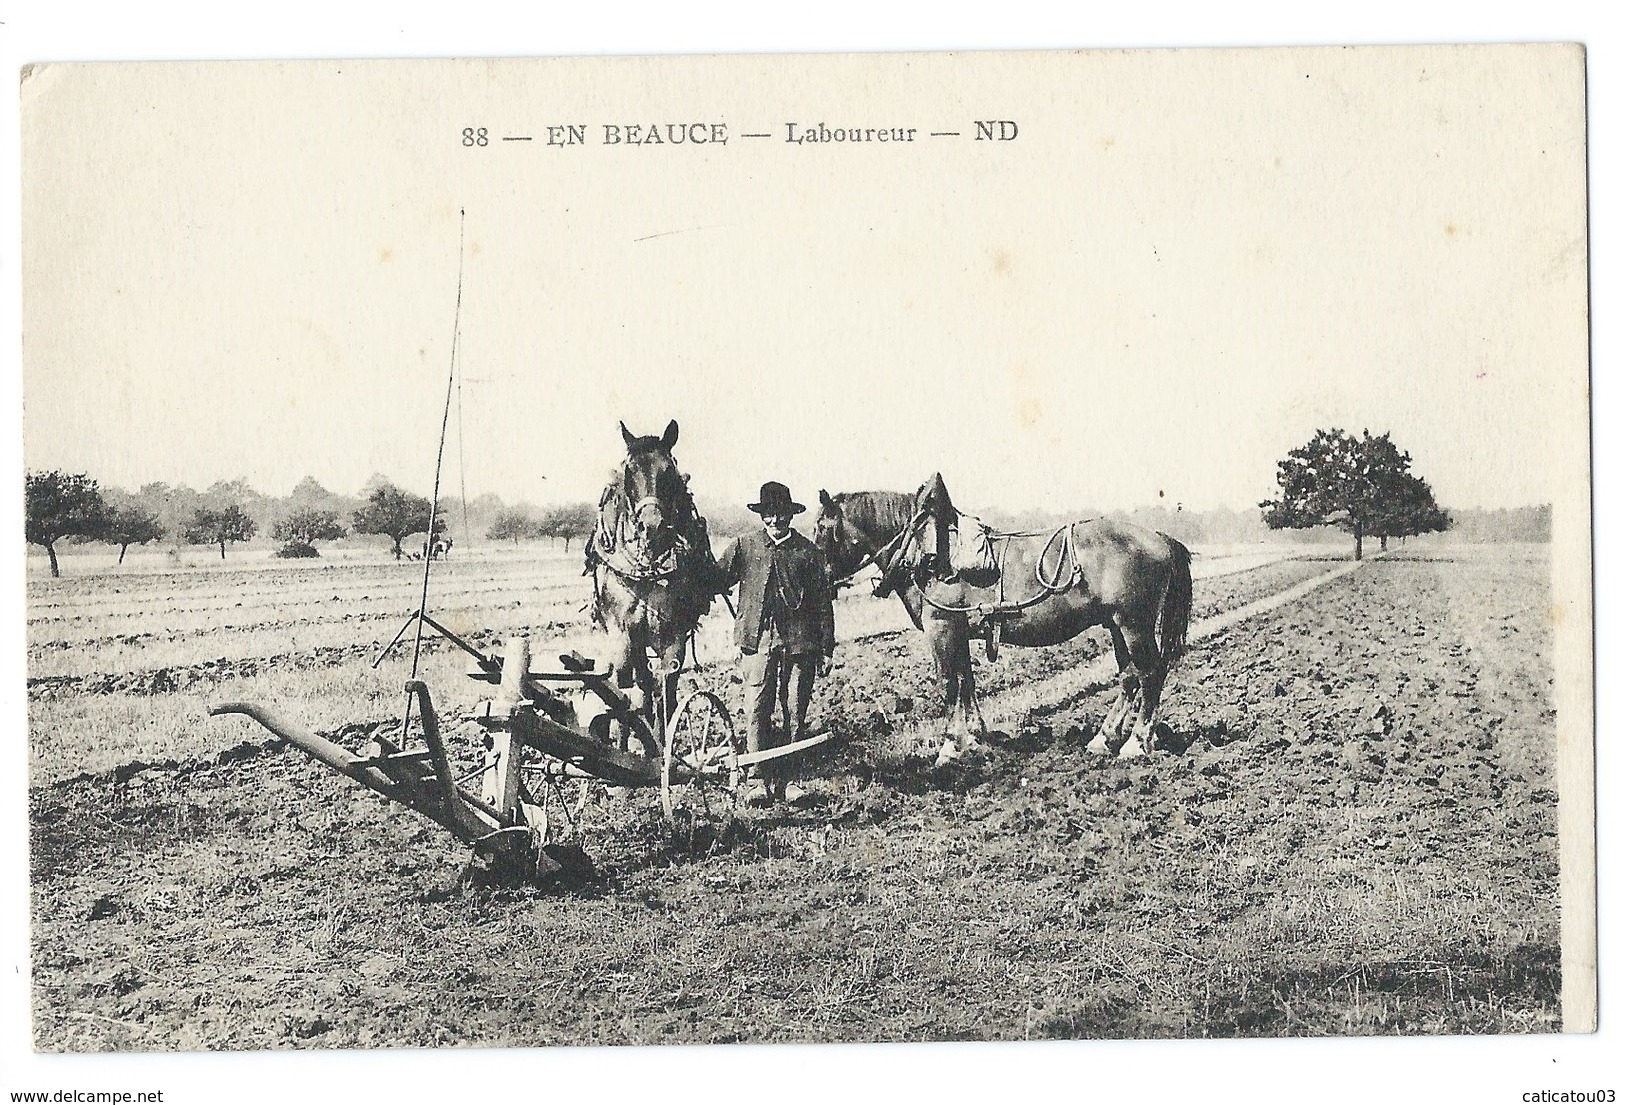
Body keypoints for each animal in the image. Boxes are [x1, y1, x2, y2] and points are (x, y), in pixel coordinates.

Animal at [581, 419, 715, 760]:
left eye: (670, 473)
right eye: (629, 473)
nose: (651, 527)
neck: (648, 571)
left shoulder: (673, 636)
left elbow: (666, 690)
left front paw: (664, 748)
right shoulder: (623, 635)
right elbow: (625, 692)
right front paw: (624, 748)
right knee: (639, 686)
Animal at [812, 471, 1196, 763]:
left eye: (822, 528)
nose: (821, 579)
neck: (926, 551)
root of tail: (1161, 538)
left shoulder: (941, 629)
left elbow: (949, 685)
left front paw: (949, 748)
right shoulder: (959, 630)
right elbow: (967, 682)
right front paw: (974, 738)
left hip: (1134, 625)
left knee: (1150, 673)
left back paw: (1137, 742)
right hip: (1116, 625)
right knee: (1129, 678)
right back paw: (1104, 738)